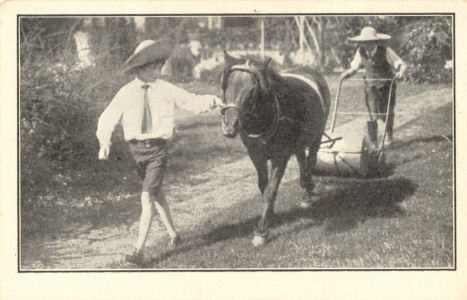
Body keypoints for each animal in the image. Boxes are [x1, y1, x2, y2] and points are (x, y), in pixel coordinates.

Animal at [221, 52, 330, 246]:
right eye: (227, 86)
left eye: (251, 91)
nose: (230, 127)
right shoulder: (255, 155)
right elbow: (263, 186)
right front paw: (270, 214)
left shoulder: (280, 156)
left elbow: (271, 190)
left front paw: (262, 231)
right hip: (298, 143)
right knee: (301, 159)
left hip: (317, 135)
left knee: (311, 161)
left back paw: (307, 191)